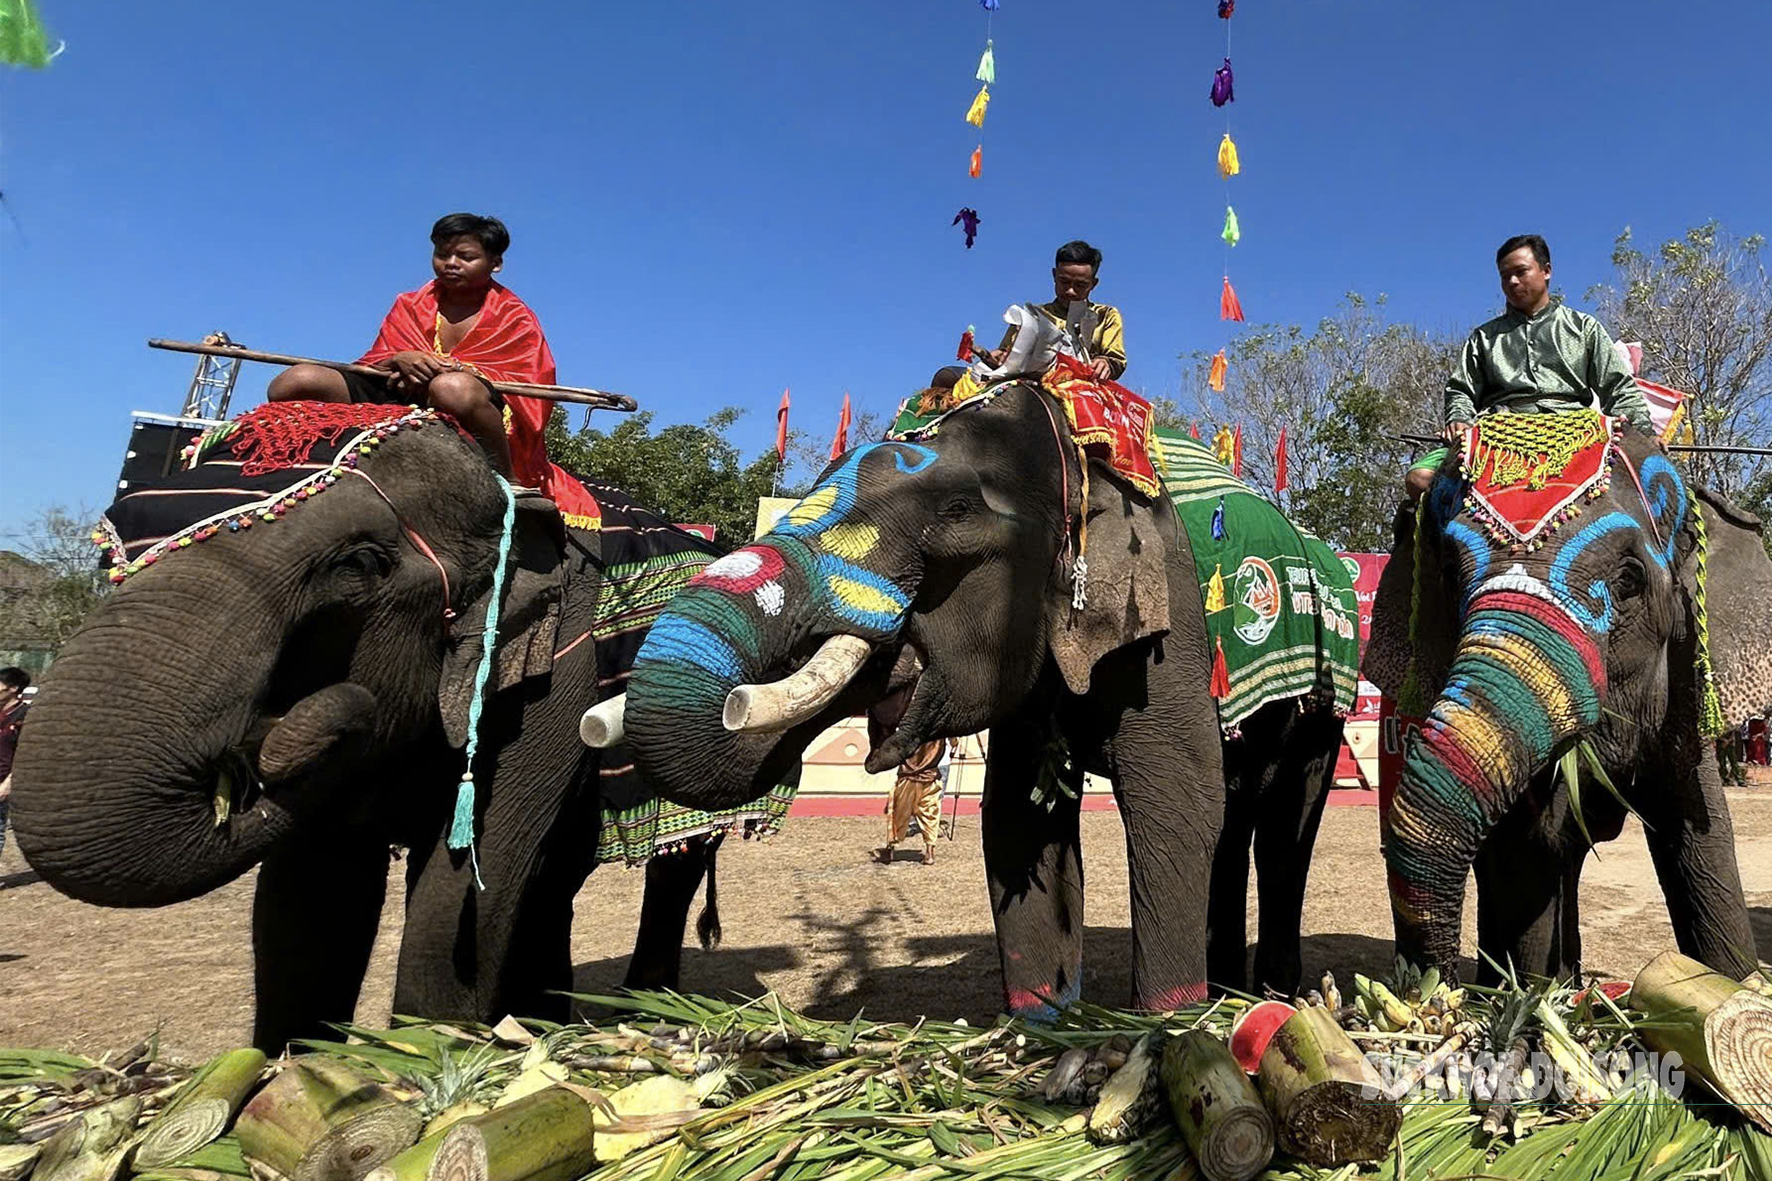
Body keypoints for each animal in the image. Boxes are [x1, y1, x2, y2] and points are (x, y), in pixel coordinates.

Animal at [10, 402, 790, 1049]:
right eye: (111, 556)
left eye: (359, 563)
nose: (274, 729)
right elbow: (312, 894)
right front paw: (293, 1080)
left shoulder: (552, 672)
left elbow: (465, 881)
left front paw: (426, 1069)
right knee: (552, 881)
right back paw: (542, 1027)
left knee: (665, 866)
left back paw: (645, 1018)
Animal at [588, 379, 1346, 1014]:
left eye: (954, 513)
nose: (739, 700)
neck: (1076, 451)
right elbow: (1018, 818)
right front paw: (1042, 1030)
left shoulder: (1170, 626)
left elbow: (1174, 804)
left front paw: (1168, 1030)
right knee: (1238, 817)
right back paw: (1232, 992)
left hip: (1326, 704)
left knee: (1284, 825)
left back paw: (1274, 997)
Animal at [1360, 418, 1764, 978]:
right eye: (1448, 576)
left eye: (1629, 580)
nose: (1437, 986)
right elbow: (1525, 860)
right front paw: (1529, 992)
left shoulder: (1682, 699)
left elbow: (1702, 844)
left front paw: (1730, 984)